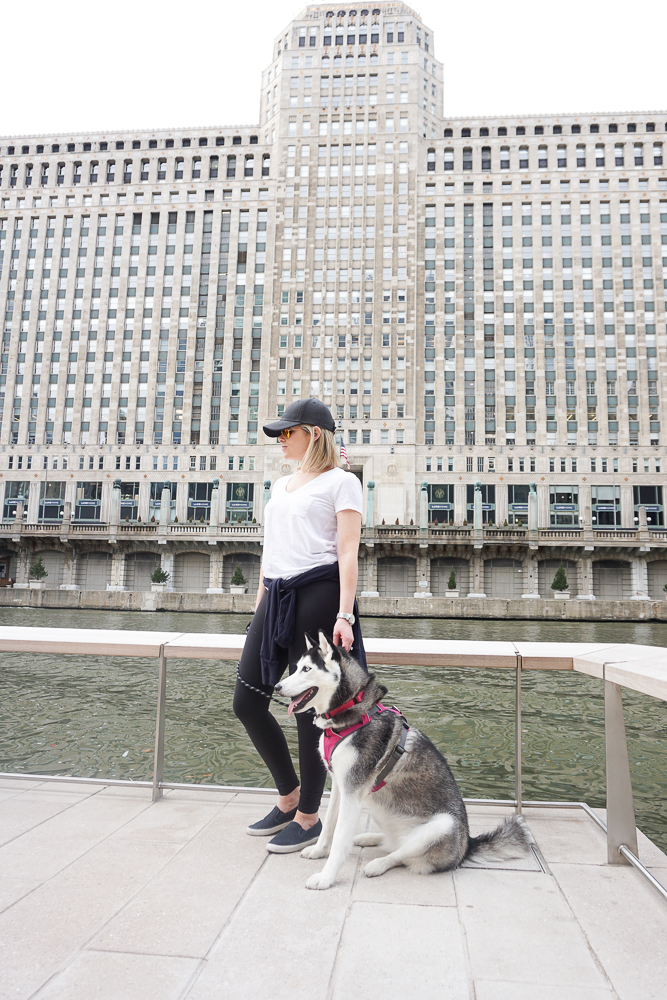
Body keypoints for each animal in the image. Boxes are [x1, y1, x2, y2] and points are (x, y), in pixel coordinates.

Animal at [276, 632, 532, 892]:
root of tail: (467, 845)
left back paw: (377, 864)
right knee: (395, 843)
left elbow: (339, 838)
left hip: (443, 825)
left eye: (307, 669)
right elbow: (329, 823)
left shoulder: (352, 791)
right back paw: (368, 838)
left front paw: (326, 877)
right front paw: (319, 850)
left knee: (401, 854)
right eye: (296, 667)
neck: (350, 717)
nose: (277, 687)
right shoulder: (340, 784)